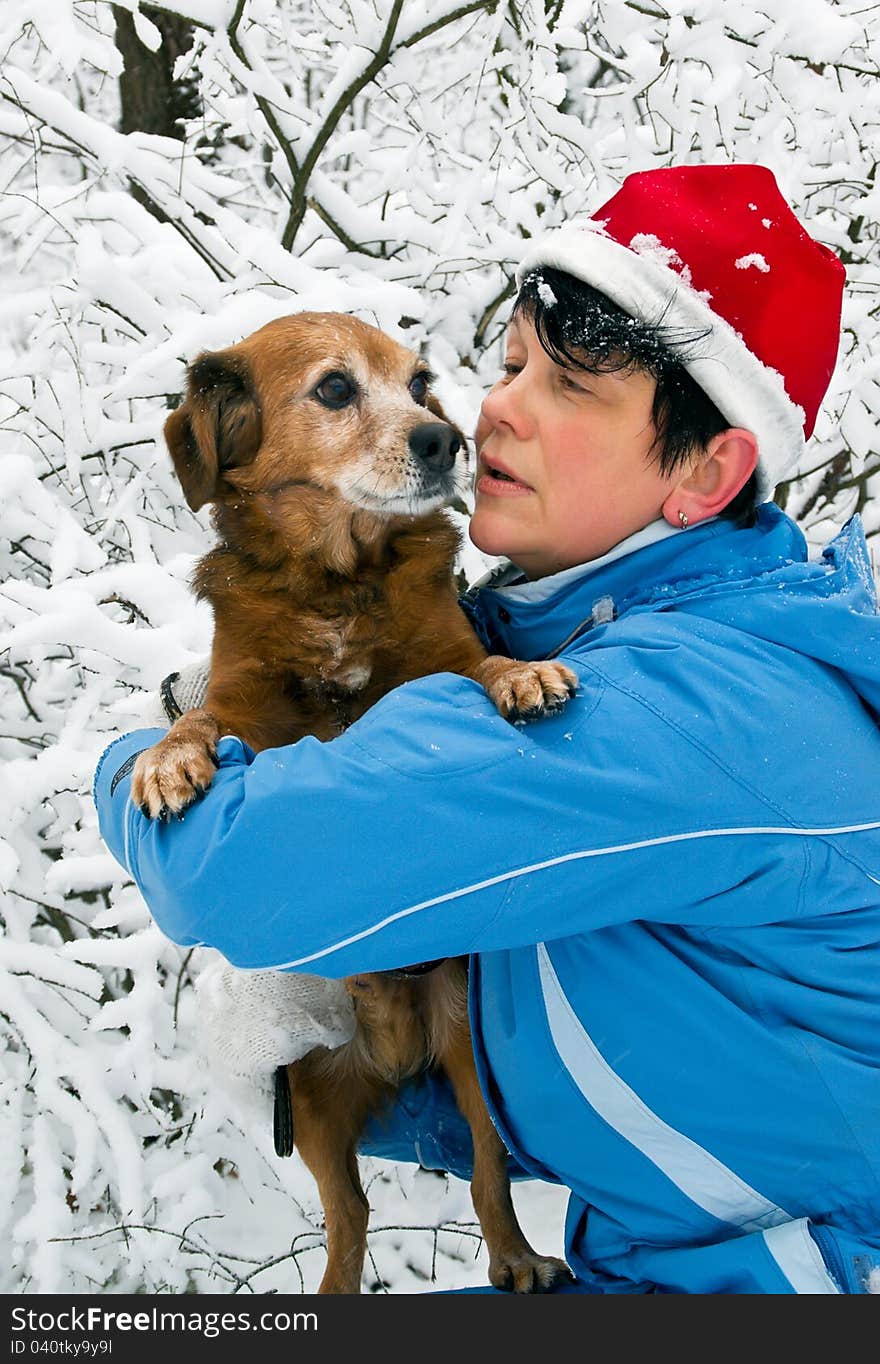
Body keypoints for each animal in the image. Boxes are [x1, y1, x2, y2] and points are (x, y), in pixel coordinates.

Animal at [126, 313, 573, 1293]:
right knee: (349, 1221)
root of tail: (392, 1048)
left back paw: (519, 1257)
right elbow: (199, 717)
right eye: (335, 388)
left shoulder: (443, 658)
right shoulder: (244, 703)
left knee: (486, 1178)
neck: (333, 581)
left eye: (420, 383)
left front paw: (522, 675)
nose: (445, 440)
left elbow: (479, 666)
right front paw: (163, 763)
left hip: (471, 1066)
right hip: (313, 1111)